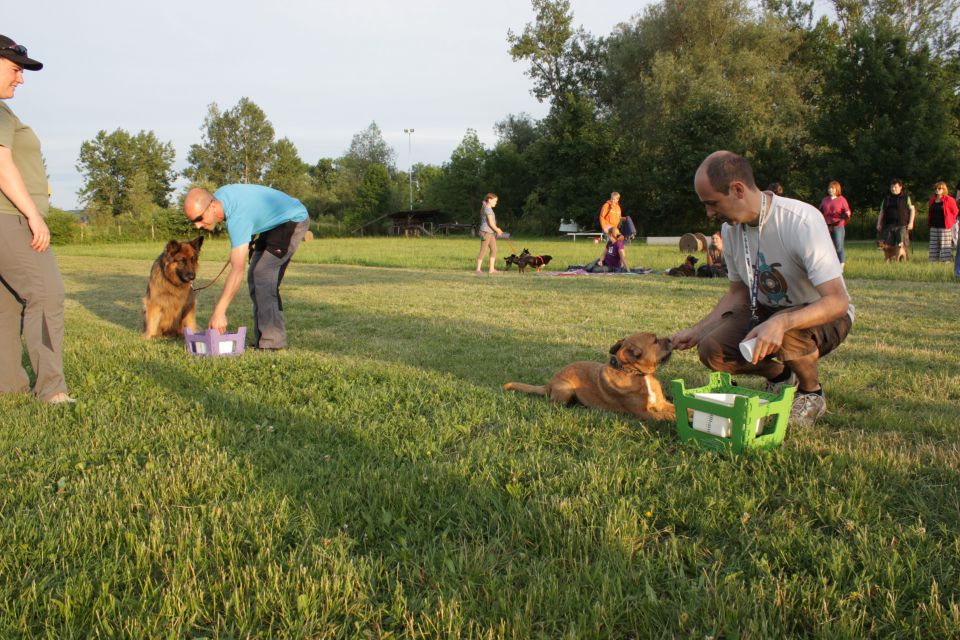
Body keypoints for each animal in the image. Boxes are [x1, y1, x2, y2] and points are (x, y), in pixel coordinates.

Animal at [502, 332, 676, 422]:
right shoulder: (644, 413)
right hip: (567, 391)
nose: (670, 339)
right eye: (655, 340)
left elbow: (675, 408)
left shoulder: (662, 403)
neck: (637, 374)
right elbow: (665, 416)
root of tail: (549, 383)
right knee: (554, 404)